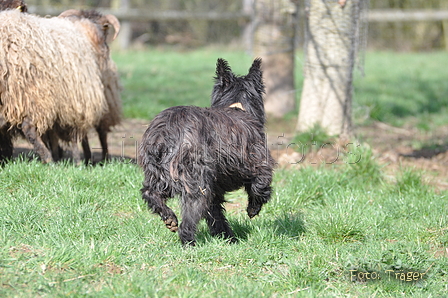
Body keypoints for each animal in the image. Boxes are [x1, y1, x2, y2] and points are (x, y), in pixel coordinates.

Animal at [138, 58, 274, 247]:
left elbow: (215, 215)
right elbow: (260, 186)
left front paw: (227, 237)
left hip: (160, 175)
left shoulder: (215, 189)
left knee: (150, 193)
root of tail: (165, 132)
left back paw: (169, 218)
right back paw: (190, 244)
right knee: (188, 220)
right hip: (196, 184)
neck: (237, 106)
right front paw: (253, 209)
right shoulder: (260, 164)